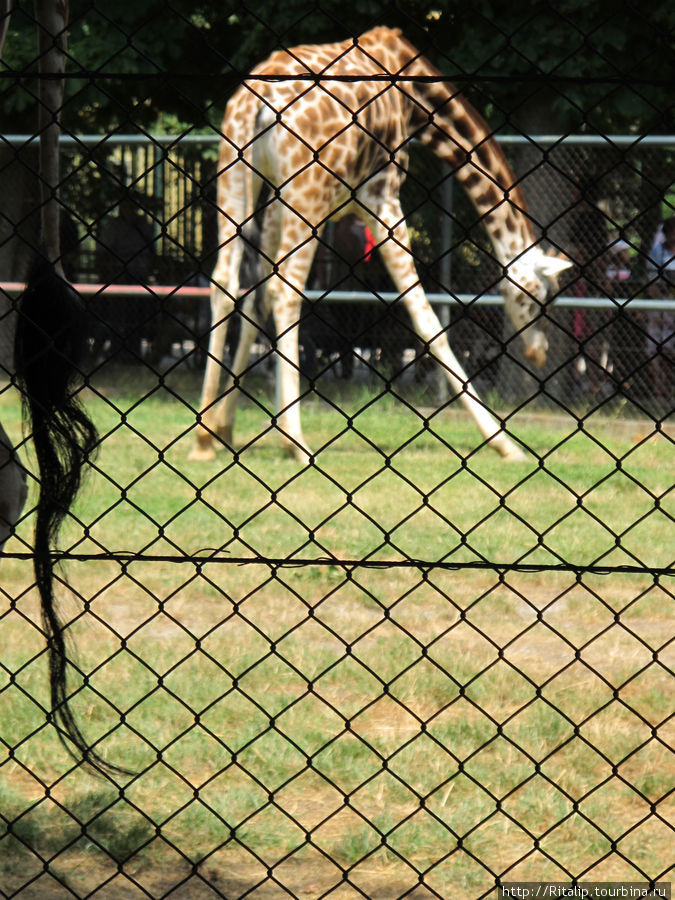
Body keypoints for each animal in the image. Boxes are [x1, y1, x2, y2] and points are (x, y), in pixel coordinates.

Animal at [193, 28, 572, 464]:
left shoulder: (279, 198)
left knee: (225, 281)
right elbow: (427, 319)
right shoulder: (383, 197)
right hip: (308, 194)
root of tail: (259, 98)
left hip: (236, 176)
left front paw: (222, 427)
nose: (538, 352)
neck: (417, 97)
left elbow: (253, 300)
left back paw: (202, 439)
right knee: (286, 290)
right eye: (545, 298)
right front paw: (503, 442)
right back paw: (297, 442)